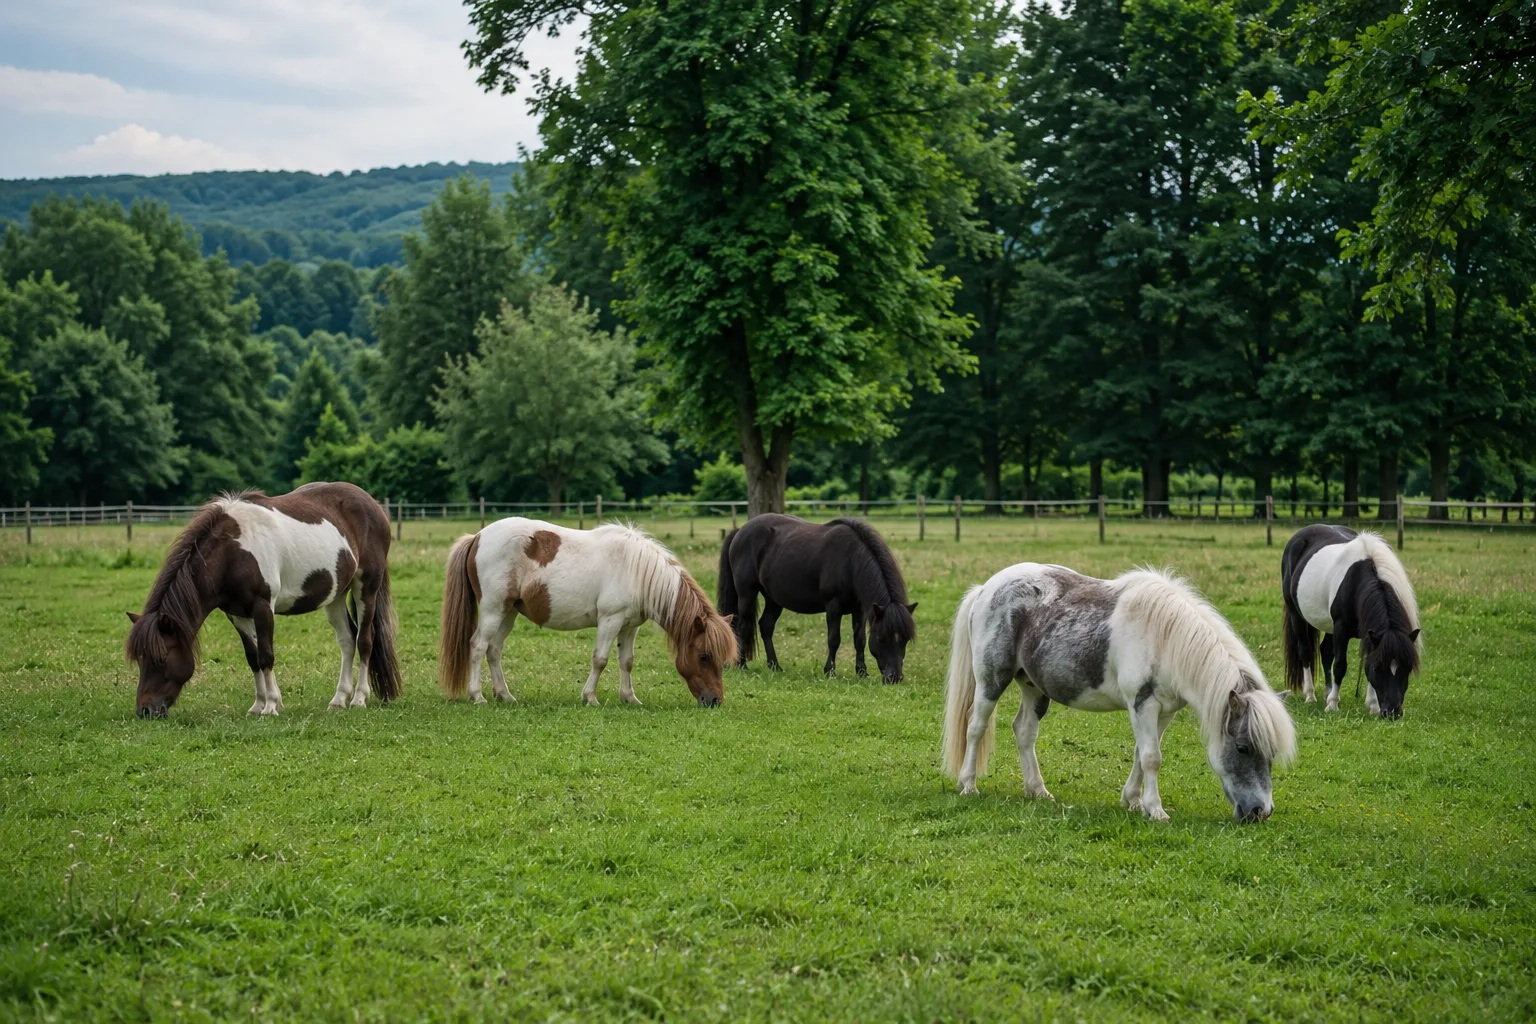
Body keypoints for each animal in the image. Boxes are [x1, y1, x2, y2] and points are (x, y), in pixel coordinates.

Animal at [125, 482, 400, 719]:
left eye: (161, 658)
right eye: (139, 659)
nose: (145, 710)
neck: (232, 553)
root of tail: (373, 504)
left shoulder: (263, 607)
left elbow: (266, 655)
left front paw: (270, 707)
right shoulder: (237, 614)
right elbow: (252, 656)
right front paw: (260, 704)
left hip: (366, 587)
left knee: (364, 640)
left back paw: (359, 699)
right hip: (335, 595)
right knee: (347, 640)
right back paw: (339, 699)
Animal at [437, 519, 736, 707]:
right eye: (704, 656)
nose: (715, 701)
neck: (636, 571)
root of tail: (477, 537)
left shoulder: (629, 626)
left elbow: (627, 661)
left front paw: (629, 698)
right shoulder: (610, 620)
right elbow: (600, 660)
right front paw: (590, 697)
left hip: (507, 613)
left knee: (494, 650)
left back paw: (505, 695)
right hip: (492, 610)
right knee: (477, 646)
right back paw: (477, 695)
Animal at [717, 515, 917, 683]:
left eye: (905, 639)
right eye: (882, 638)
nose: (895, 678)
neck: (851, 561)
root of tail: (740, 531)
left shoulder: (859, 609)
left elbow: (859, 640)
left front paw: (862, 672)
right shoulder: (833, 606)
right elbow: (834, 639)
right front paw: (830, 671)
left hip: (773, 599)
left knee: (766, 626)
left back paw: (775, 666)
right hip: (747, 594)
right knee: (741, 626)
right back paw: (742, 665)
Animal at [942, 564, 1296, 823]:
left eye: (1271, 753)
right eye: (1243, 748)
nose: (1261, 812)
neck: (1164, 638)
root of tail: (986, 588)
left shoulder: (1164, 710)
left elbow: (1142, 755)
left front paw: (1133, 801)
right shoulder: (1143, 704)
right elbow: (1152, 757)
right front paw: (1156, 810)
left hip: (1033, 687)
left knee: (1024, 731)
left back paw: (1038, 790)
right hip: (990, 680)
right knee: (975, 727)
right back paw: (968, 784)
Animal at [1281, 525, 1422, 718]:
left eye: (1407, 668)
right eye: (1378, 669)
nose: (1392, 712)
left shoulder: (1369, 634)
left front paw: (1372, 705)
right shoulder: (1341, 628)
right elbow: (1340, 665)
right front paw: (1333, 705)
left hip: (1329, 625)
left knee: (1325, 651)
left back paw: (1327, 692)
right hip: (1297, 615)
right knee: (1305, 651)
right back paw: (1310, 695)